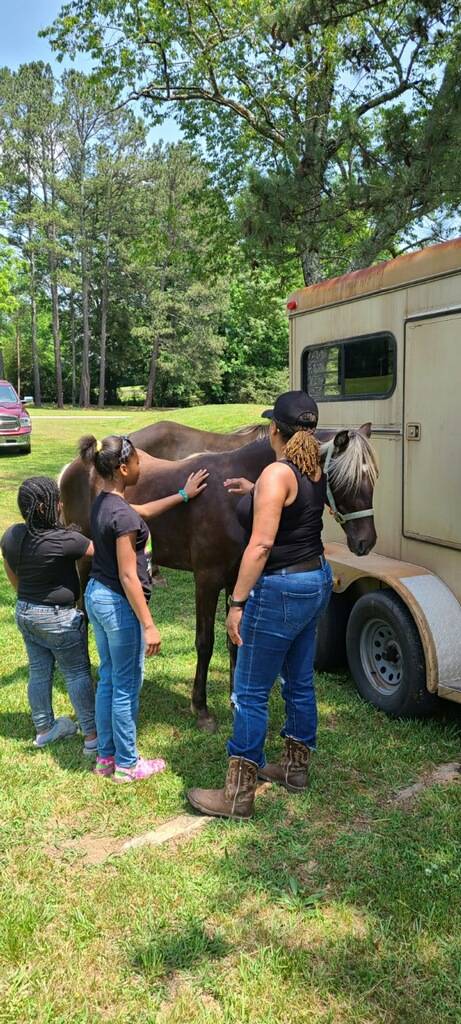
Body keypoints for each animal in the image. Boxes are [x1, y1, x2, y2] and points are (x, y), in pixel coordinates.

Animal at [60, 428, 379, 733]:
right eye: (347, 479)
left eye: (374, 477)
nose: (366, 541)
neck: (231, 496)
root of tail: (72, 467)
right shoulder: (207, 579)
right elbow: (205, 642)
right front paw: (201, 709)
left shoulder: (236, 580)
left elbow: (233, 640)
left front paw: (234, 698)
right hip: (86, 560)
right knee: (84, 613)